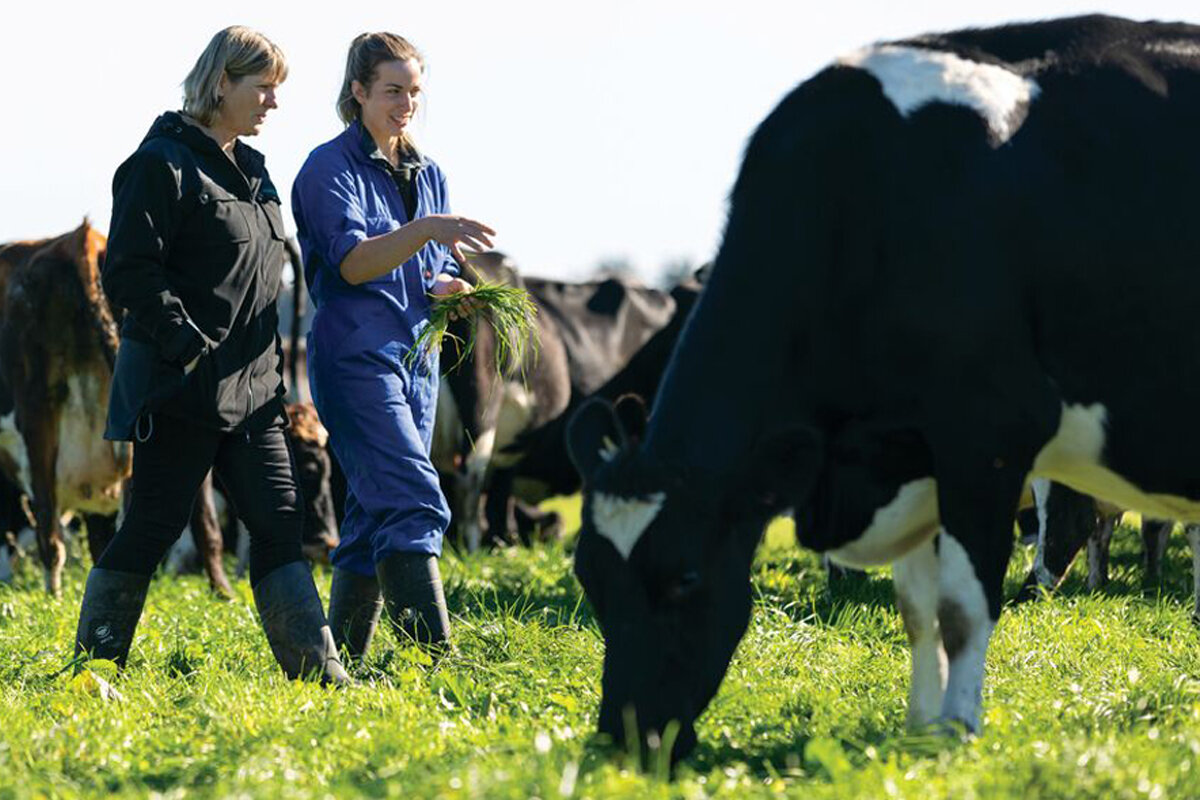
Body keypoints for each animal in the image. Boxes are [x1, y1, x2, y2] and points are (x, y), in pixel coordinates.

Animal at [566, 14, 1200, 762]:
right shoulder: (910, 454)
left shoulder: (986, 433)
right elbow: (918, 612)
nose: (622, 737)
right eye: (588, 575)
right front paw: (921, 727)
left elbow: (961, 608)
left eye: (686, 576)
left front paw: (957, 731)